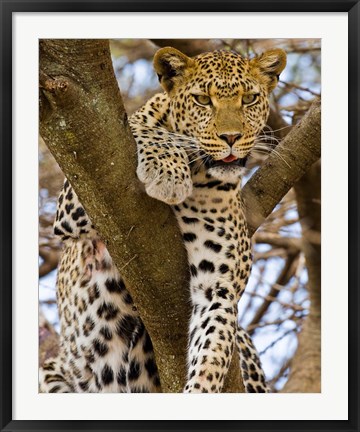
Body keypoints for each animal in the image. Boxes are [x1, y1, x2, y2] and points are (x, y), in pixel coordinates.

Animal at [39, 45, 286, 394]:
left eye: (249, 99)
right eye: (202, 100)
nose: (231, 137)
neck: (200, 172)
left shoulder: (217, 289)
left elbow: (211, 356)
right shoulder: (76, 201)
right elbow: (146, 129)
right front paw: (169, 172)